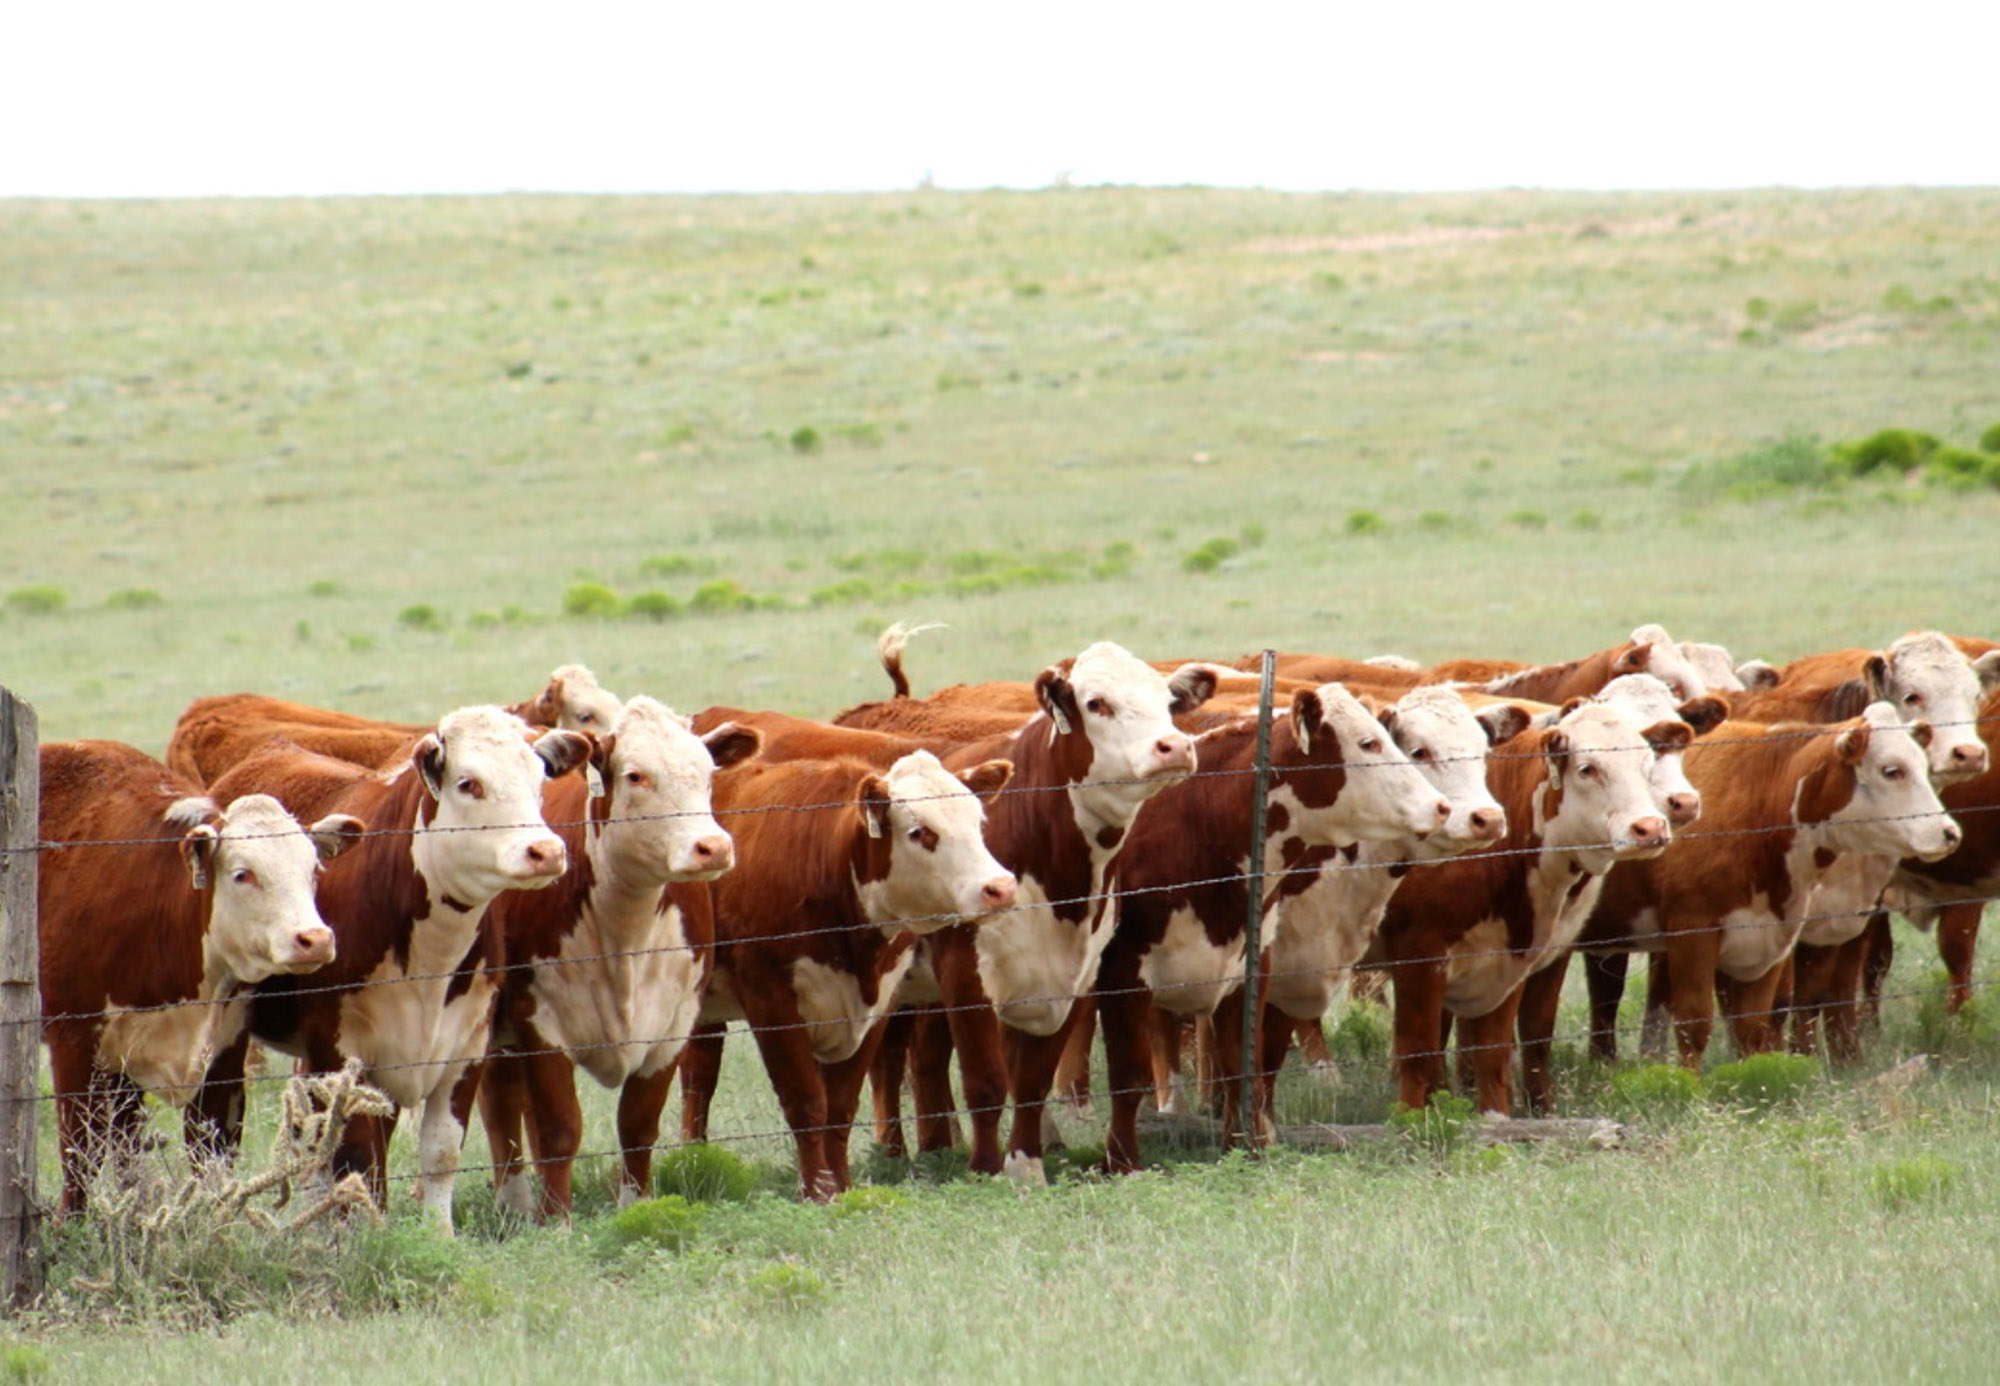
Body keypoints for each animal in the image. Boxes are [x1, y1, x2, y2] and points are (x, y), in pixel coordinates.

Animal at [39, 736, 360, 1208]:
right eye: (243, 874)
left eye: (314, 870)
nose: (315, 939)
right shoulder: (74, 1041)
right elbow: (80, 1158)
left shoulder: (224, 1054)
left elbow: (212, 1157)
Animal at [195, 708, 584, 1224]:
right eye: (468, 783)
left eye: (539, 778)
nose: (546, 851)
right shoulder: (340, 1052)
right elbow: (359, 1159)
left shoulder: (465, 1048)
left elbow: (441, 1152)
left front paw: (438, 1233)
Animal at [480, 696, 760, 1216]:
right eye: (636, 775)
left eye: (708, 773)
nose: (712, 847)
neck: (625, 928)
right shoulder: (540, 1025)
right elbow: (558, 1128)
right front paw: (557, 1219)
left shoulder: (671, 1027)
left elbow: (637, 1126)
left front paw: (635, 1204)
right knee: (501, 1103)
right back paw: (516, 1203)